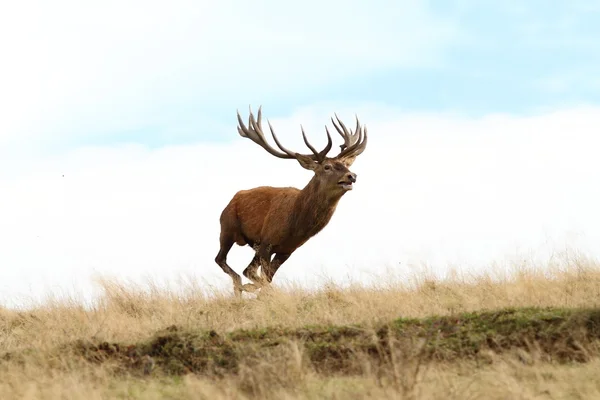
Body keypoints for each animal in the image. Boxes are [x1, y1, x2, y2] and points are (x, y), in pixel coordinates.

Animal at [213, 106, 368, 296]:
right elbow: (263, 277)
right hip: (227, 228)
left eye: (346, 165)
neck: (296, 226)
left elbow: (267, 278)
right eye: (327, 167)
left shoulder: (287, 249)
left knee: (246, 269)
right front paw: (259, 292)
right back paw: (240, 285)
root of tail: (232, 199)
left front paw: (258, 291)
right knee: (222, 259)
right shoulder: (267, 241)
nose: (351, 176)